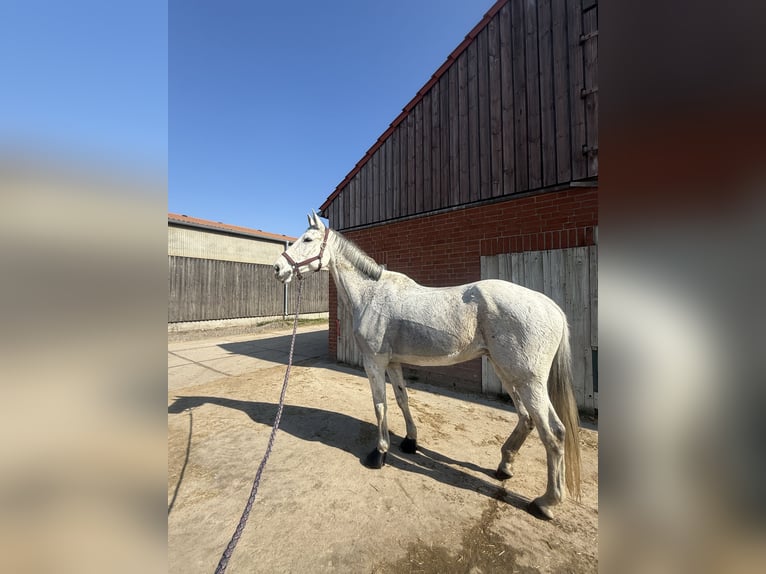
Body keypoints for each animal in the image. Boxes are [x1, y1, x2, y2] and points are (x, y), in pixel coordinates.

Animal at [273, 211, 581, 519]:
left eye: (307, 239)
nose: (278, 268)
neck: (371, 294)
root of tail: (551, 307)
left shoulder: (374, 362)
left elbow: (380, 405)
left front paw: (379, 453)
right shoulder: (394, 362)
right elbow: (402, 400)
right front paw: (410, 441)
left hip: (528, 380)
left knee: (553, 433)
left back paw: (545, 502)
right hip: (506, 371)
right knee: (526, 419)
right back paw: (504, 466)